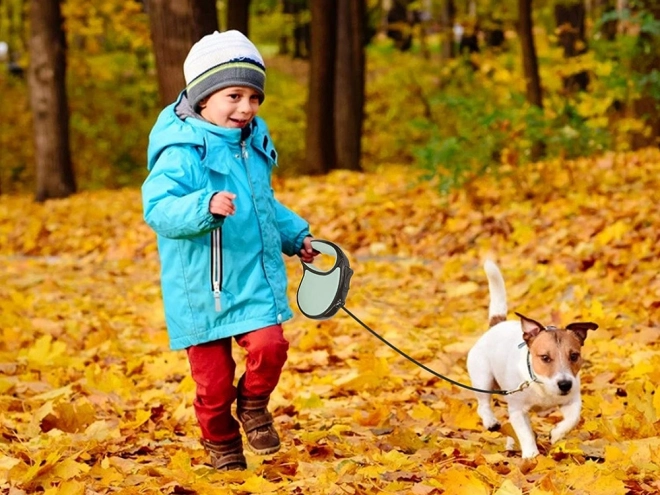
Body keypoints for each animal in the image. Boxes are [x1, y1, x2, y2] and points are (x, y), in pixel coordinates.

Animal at [464, 262, 600, 460]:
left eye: (574, 356)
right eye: (545, 357)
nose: (565, 384)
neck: (541, 385)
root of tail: (497, 325)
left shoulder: (572, 400)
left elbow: (572, 419)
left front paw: (556, 433)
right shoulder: (517, 410)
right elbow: (525, 433)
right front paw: (531, 455)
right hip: (483, 378)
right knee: (483, 405)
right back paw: (491, 421)